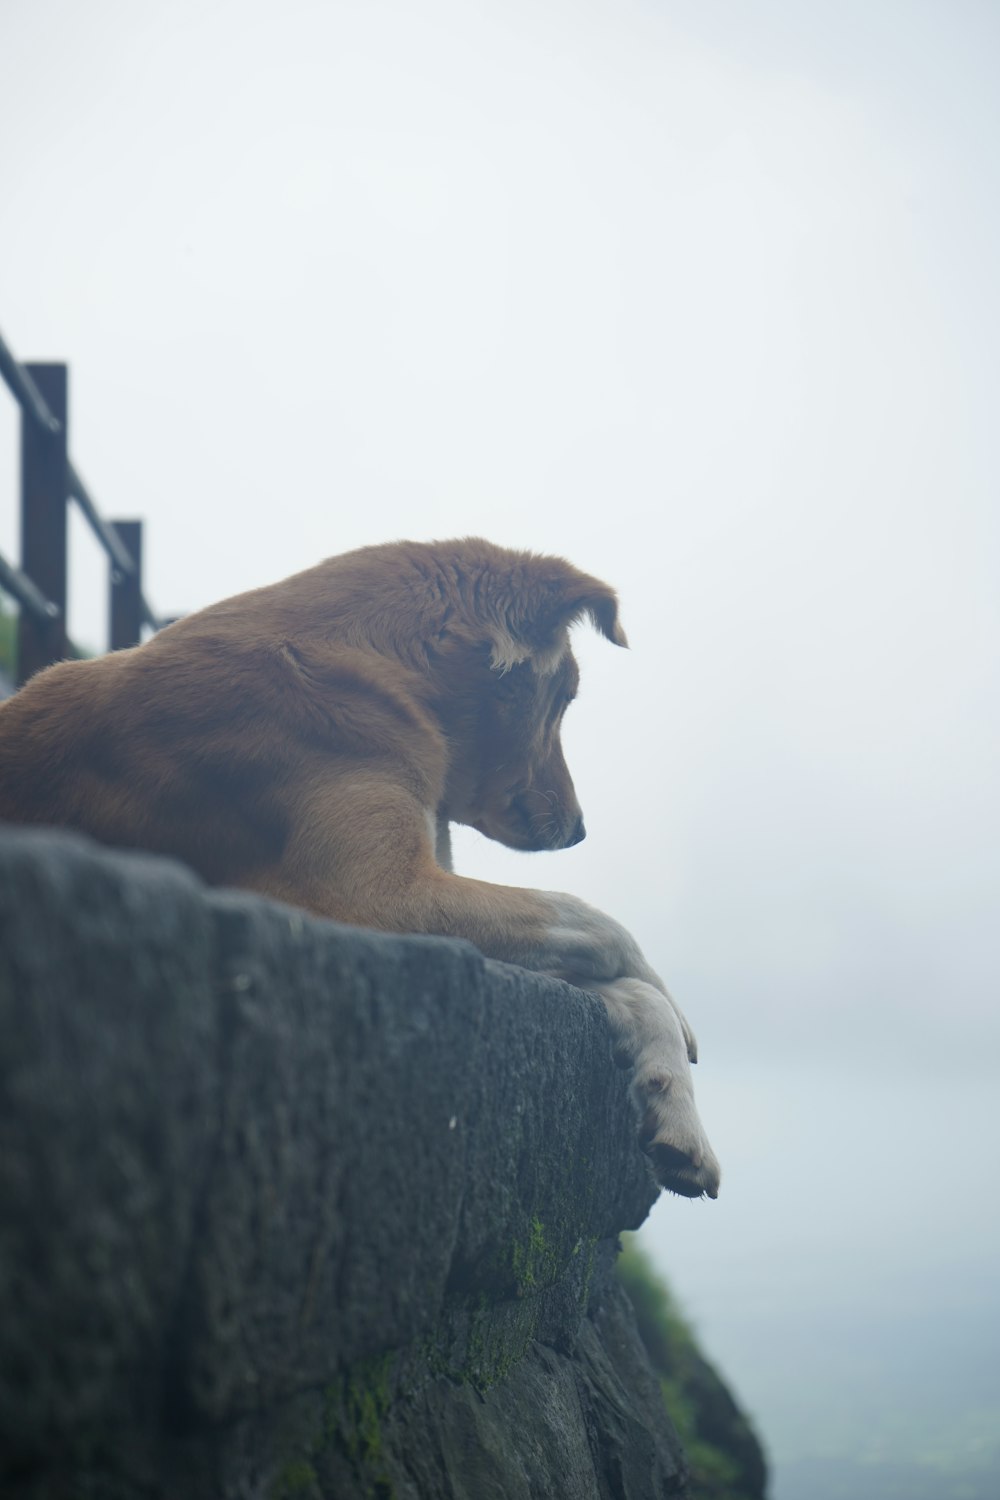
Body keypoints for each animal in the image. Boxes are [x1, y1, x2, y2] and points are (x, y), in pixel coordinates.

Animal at [0, 537, 719, 1194]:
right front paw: (679, 1011)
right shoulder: (374, 895)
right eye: (566, 697)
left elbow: (616, 983)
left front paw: (677, 1106)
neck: (386, 668)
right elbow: (598, 923)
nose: (579, 831)